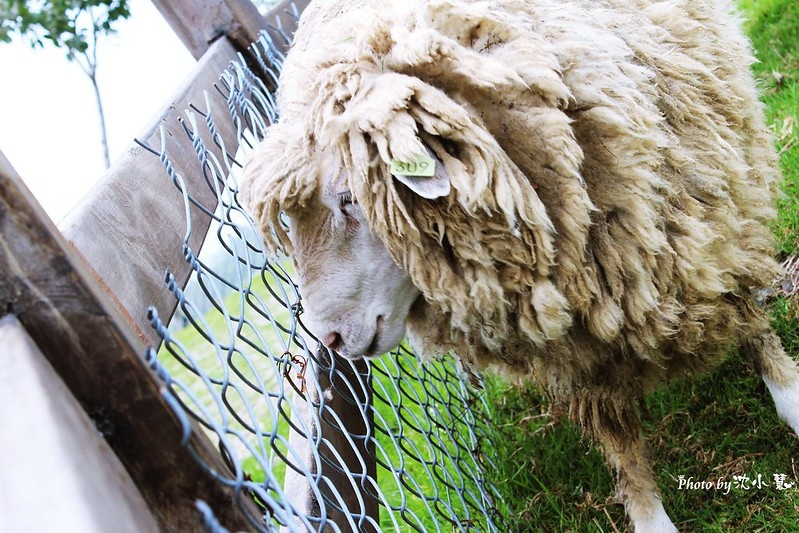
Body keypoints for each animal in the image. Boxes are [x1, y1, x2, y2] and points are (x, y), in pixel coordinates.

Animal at [241, 1, 799, 528]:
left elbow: (744, 309)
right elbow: (617, 438)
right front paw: (650, 517)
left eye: (350, 198)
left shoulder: (711, 213)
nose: (328, 340)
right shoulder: (577, 341)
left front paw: (788, 396)